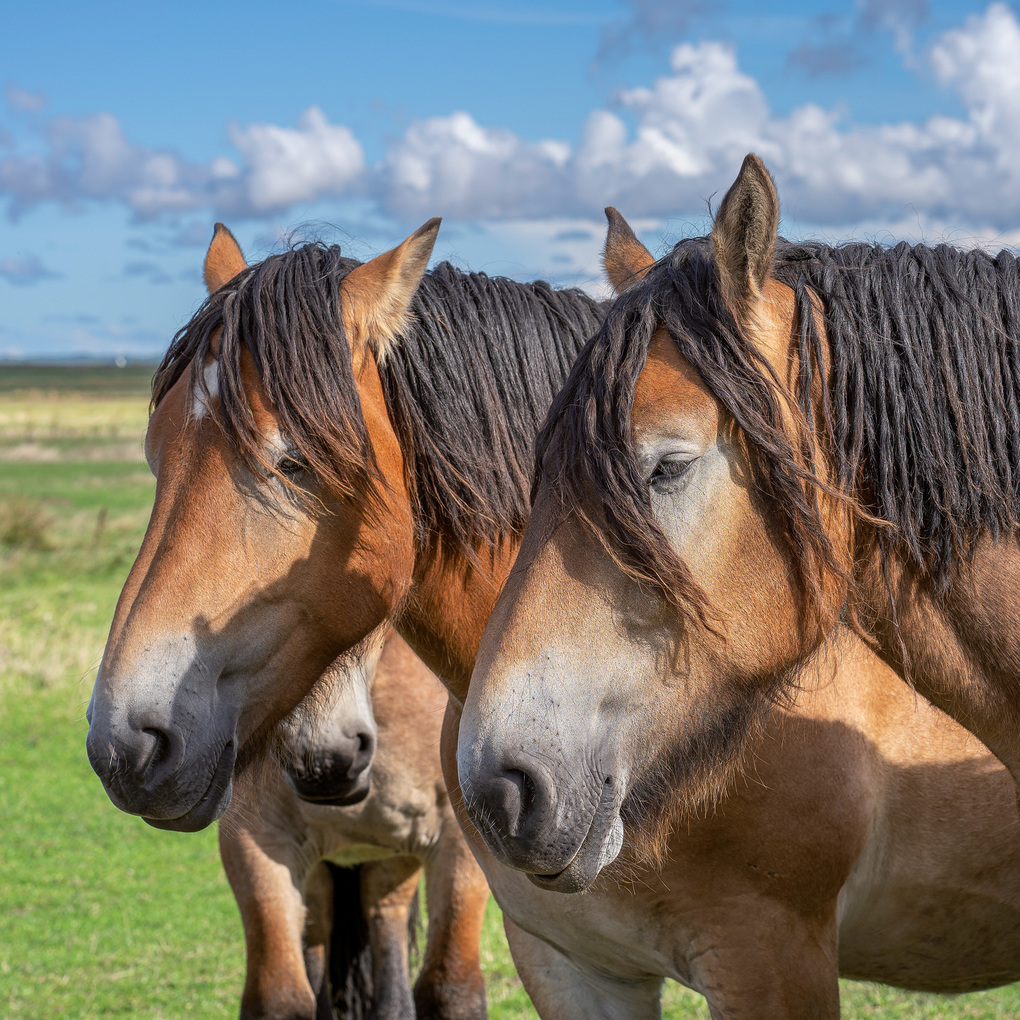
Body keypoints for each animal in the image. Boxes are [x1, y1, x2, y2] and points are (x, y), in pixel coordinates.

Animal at [220, 628, 490, 1020]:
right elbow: (279, 998)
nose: (321, 760)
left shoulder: (460, 843)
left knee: (384, 912)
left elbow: (453, 993)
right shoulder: (257, 841)